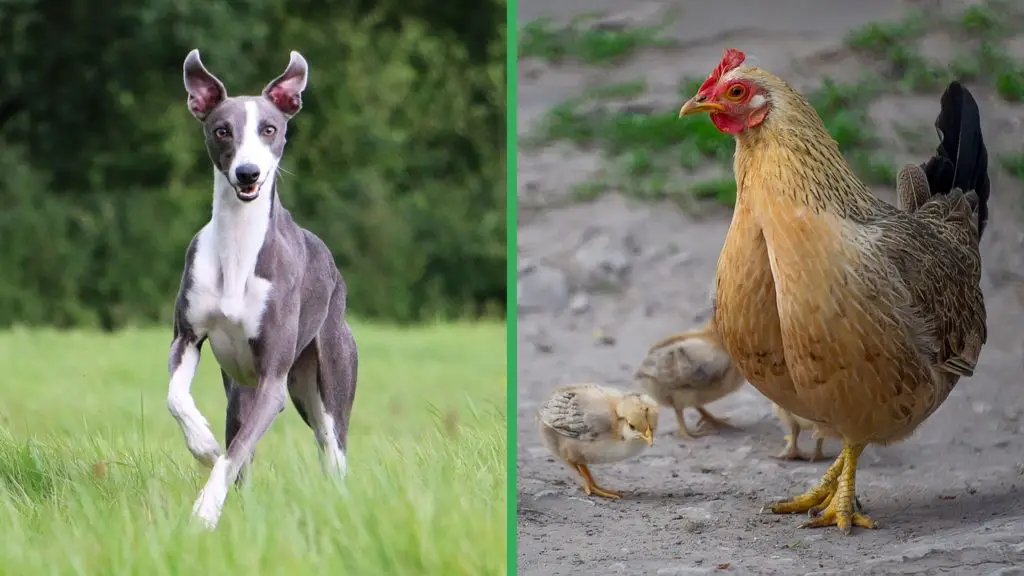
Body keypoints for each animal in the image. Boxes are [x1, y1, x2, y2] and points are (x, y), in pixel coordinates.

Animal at [165, 49, 358, 528]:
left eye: (269, 129)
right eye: (222, 130)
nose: (247, 173)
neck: (237, 246)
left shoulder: (273, 382)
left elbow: (233, 455)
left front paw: (204, 510)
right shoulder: (187, 337)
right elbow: (179, 399)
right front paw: (203, 444)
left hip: (325, 384)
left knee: (332, 450)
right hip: (239, 392)